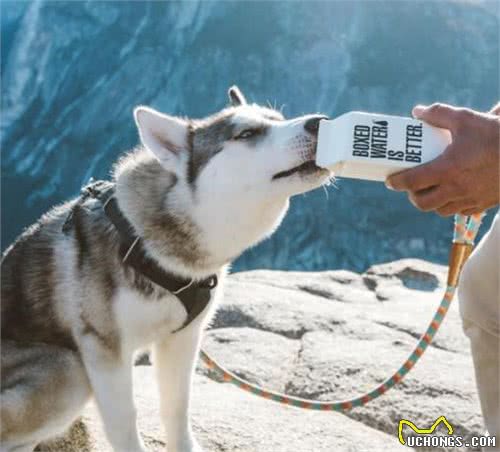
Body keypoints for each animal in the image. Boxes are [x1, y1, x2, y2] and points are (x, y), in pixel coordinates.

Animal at [0, 86, 332, 450]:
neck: (148, 245)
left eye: (279, 119)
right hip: (71, 370)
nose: (320, 121)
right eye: (246, 134)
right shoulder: (105, 351)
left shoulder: (184, 338)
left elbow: (177, 406)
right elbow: (125, 421)